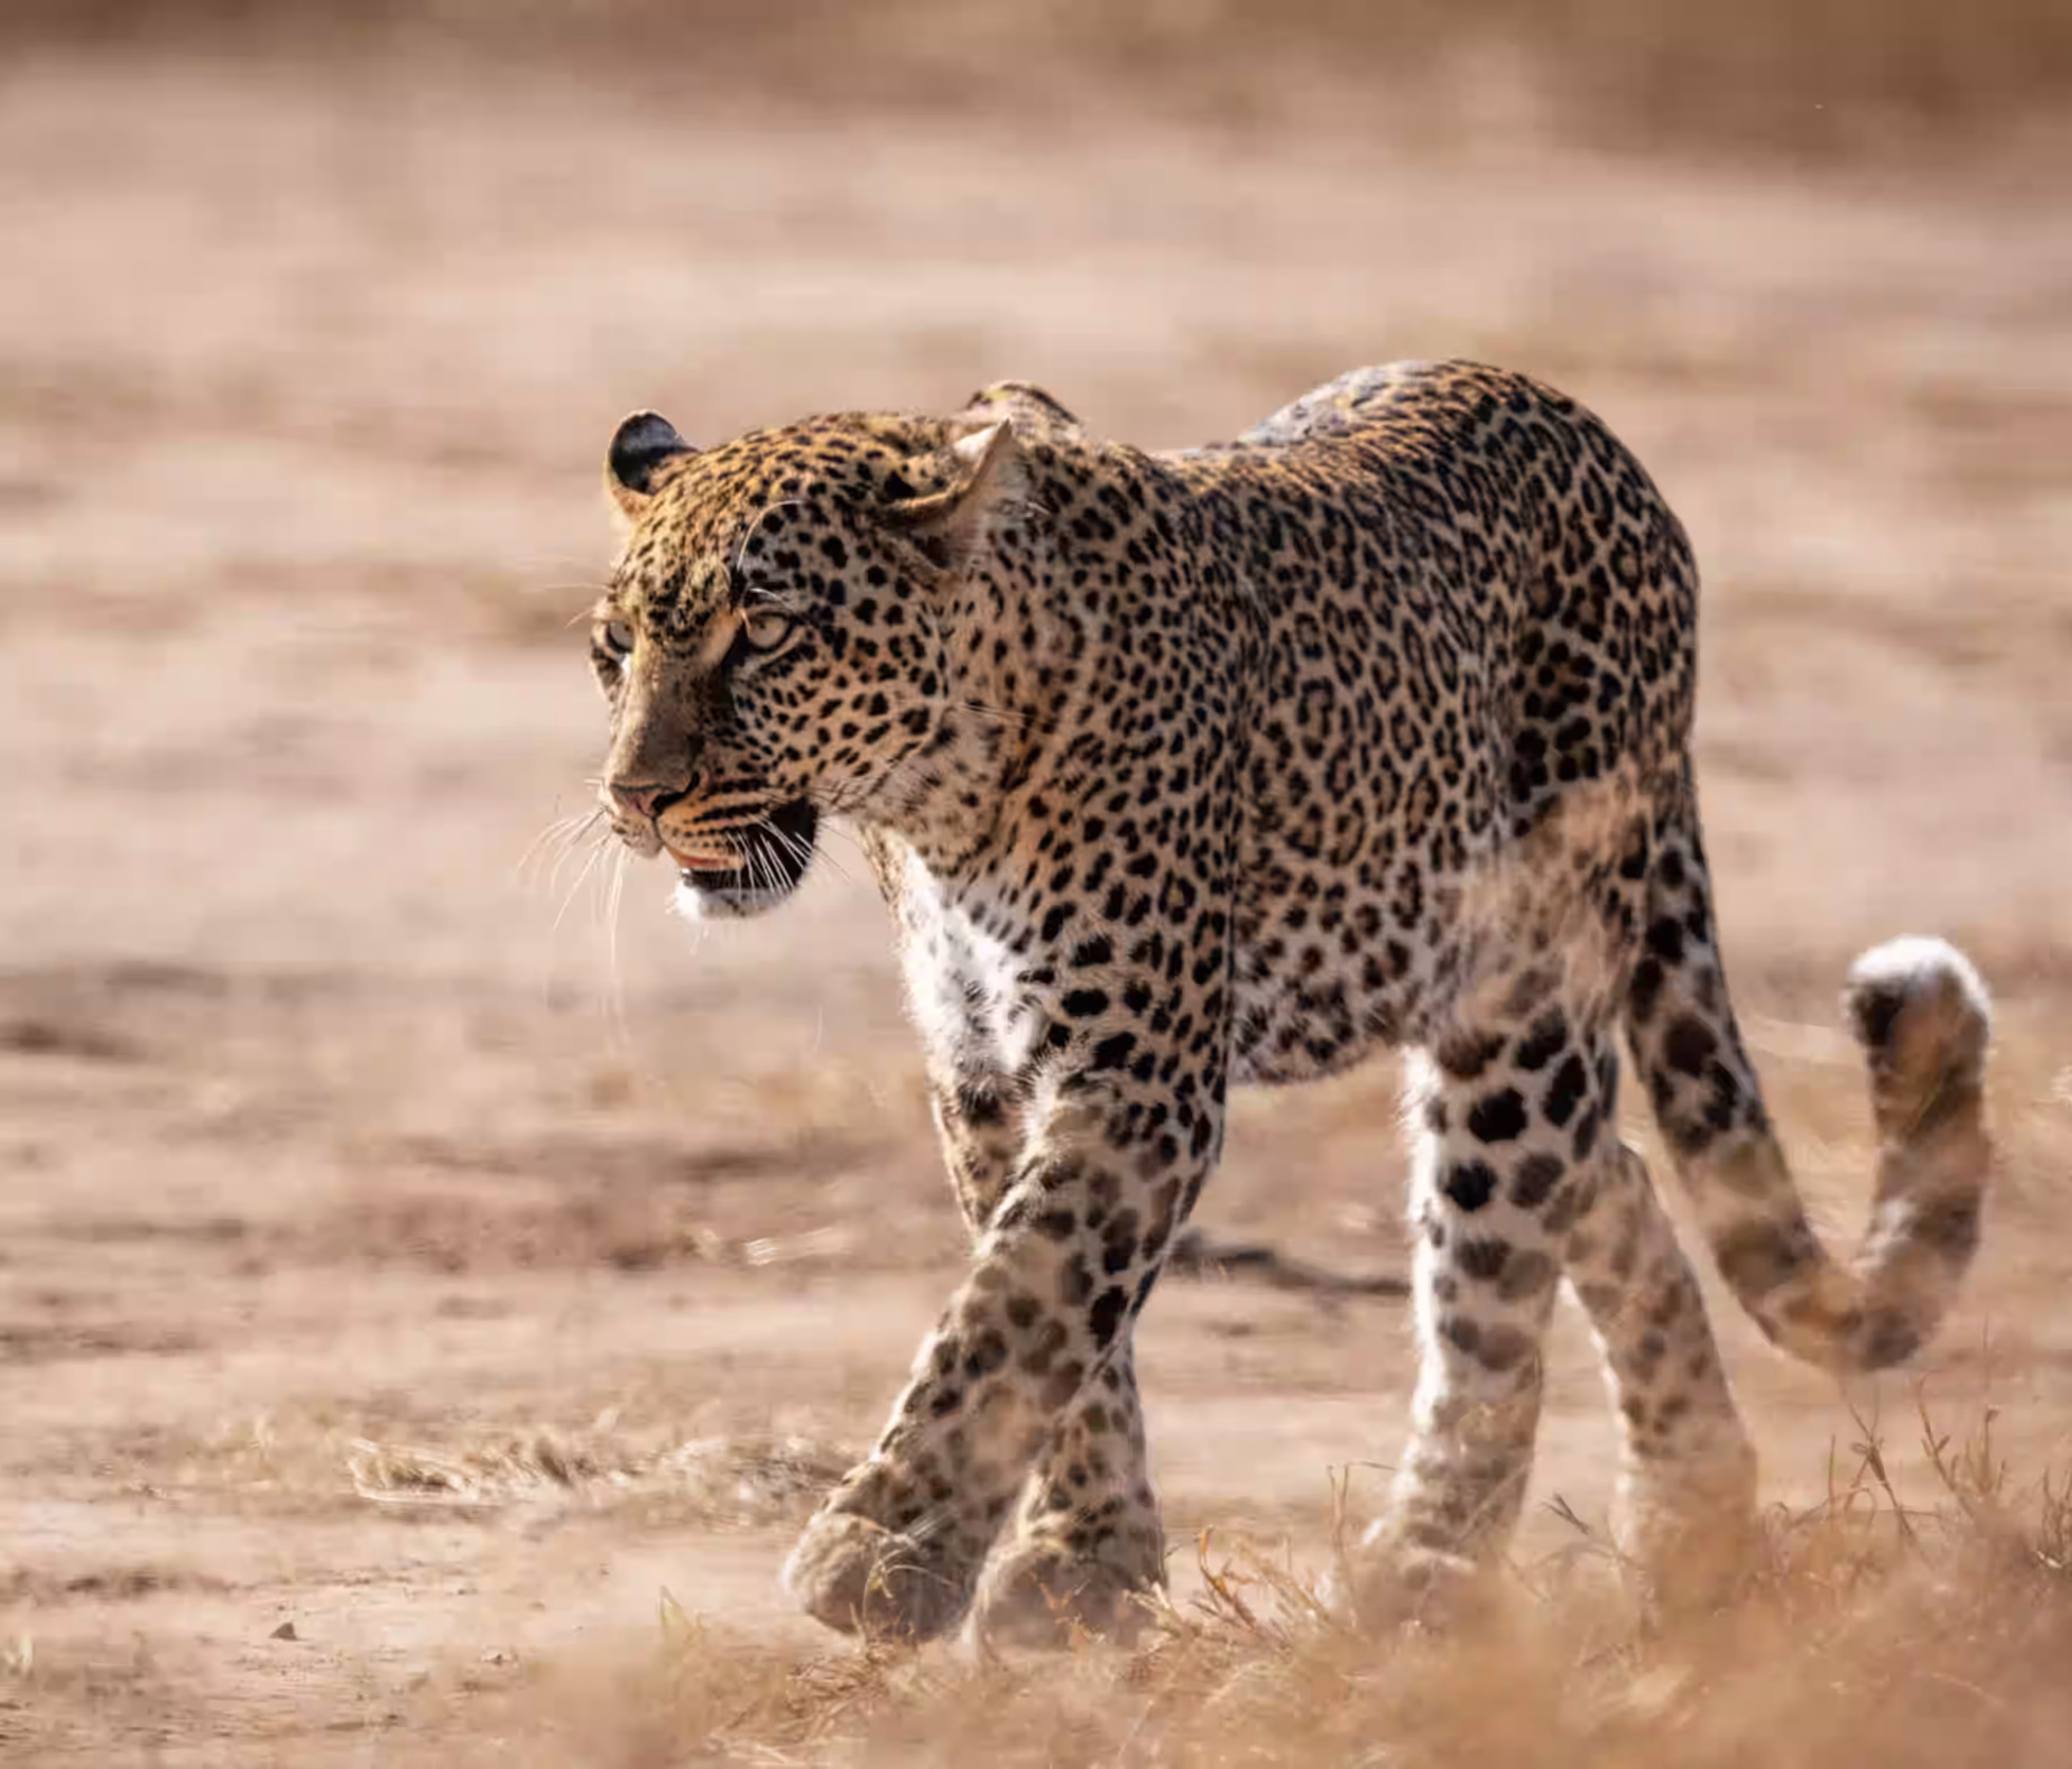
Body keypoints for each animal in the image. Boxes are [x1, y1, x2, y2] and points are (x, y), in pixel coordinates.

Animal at [584, 360, 1993, 1646]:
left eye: (765, 633)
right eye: (617, 647)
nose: (634, 798)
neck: (941, 802)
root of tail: (1605, 448)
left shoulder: (1136, 1076)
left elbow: (1013, 1307)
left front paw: (881, 1550)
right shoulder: (985, 1072)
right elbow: (1061, 1320)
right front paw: (1085, 1557)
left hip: (1521, 1000)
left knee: (1498, 1269)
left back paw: (1432, 1564)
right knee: (1615, 1173)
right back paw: (1694, 1513)